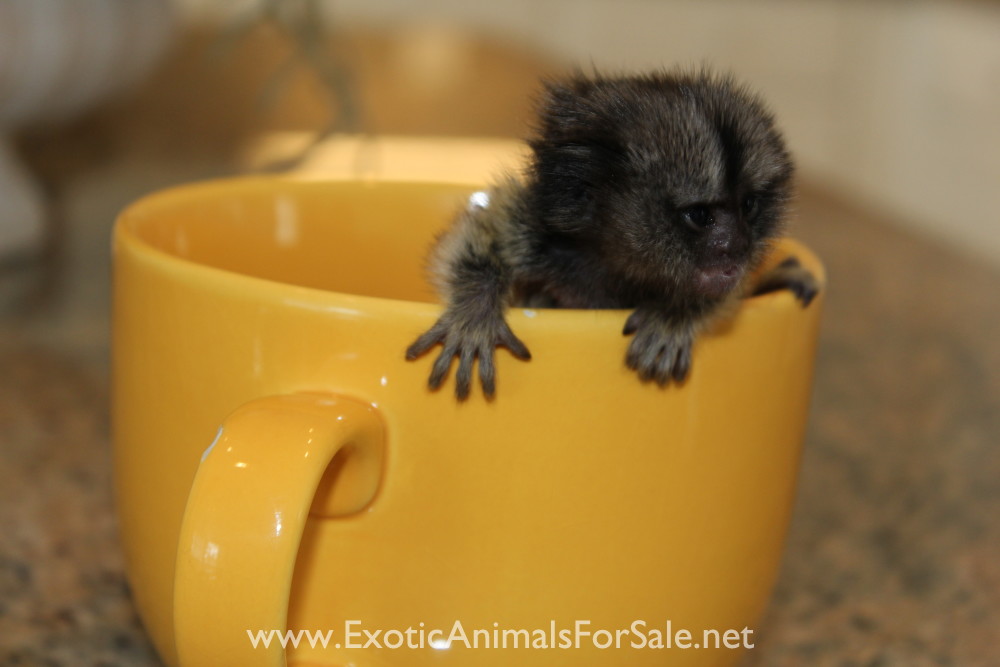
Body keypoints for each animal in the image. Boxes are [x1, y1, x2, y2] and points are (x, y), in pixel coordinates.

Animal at [406, 70, 818, 400]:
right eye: (700, 215)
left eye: (748, 206)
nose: (737, 245)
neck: (612, 261)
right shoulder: (533, 230)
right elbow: (479, 238)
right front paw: (475, 315)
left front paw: (675, 314)